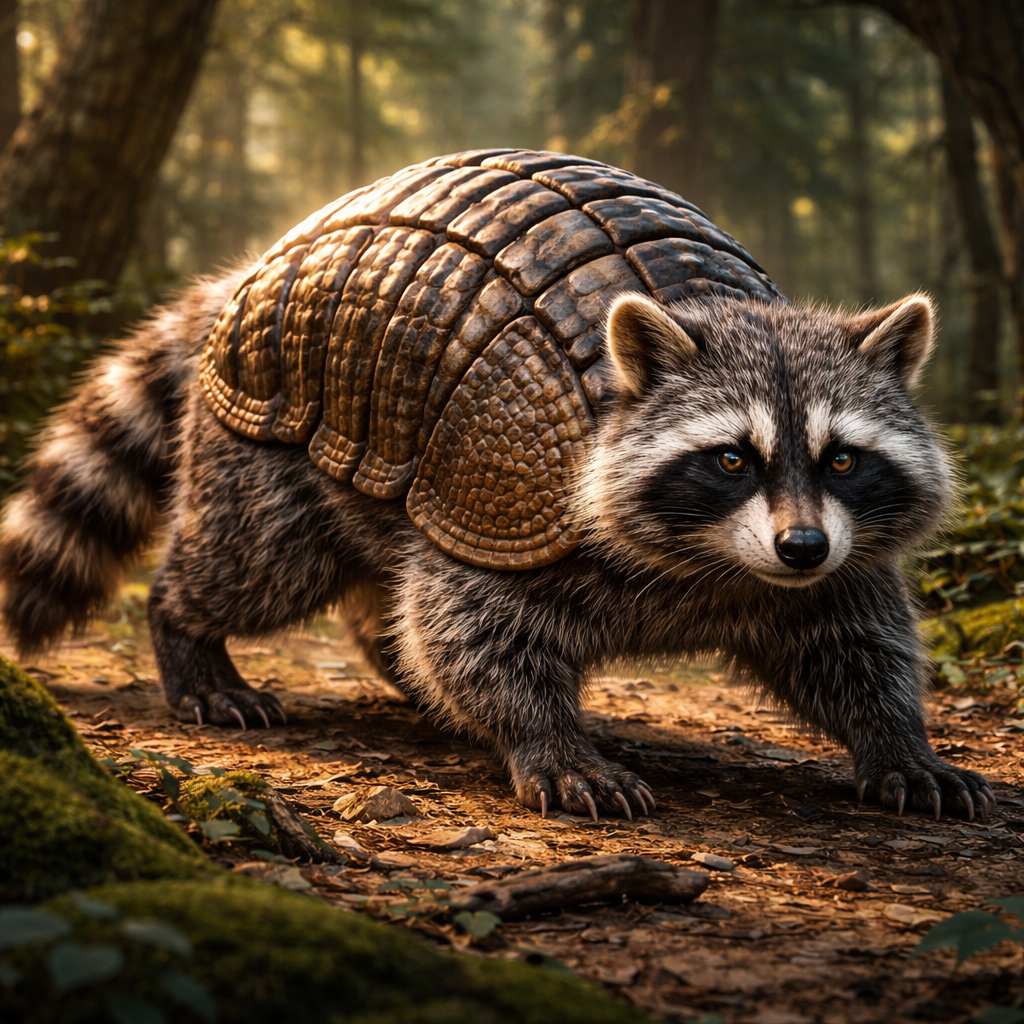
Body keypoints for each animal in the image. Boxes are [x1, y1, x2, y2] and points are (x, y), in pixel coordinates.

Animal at [0, 279, 993, 823]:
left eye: (842, 458)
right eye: (729, 458)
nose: (801, 547)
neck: (713, 560)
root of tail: (268, 259)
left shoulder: (836, 559)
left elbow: (854, 639)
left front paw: (896, 735)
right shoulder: (507, 494)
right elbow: (472, 624)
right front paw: (543, 735)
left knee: (382, 597)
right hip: (270, 443)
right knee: (254, 563)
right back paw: (186, 628)